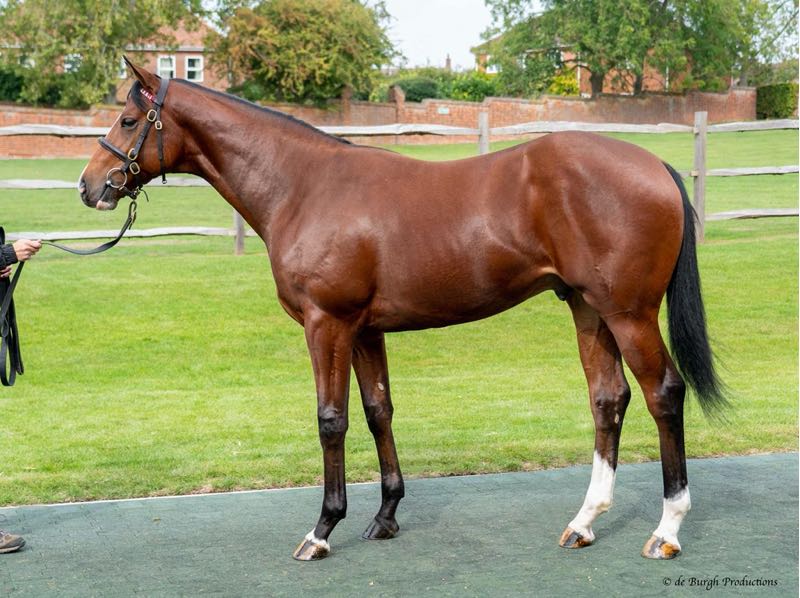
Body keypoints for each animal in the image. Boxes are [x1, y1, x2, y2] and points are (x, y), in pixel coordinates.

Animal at [79, 59, 725, 561]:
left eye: (129, 120)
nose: (89, 187)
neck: (304, 187)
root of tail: (655, 166)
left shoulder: (328, 324)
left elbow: (331, 419)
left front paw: (323, 529)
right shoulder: (365, 331)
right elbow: (377, 412)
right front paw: (385, 516)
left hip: (629, 314)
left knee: (663, 393)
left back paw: (667, 530)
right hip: (588, 309)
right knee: (608, 399)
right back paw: (584, 522)